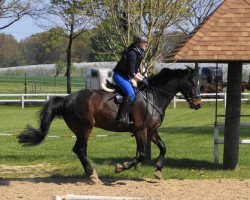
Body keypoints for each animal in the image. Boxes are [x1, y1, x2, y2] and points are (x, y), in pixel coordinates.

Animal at [17, 67, 201, 183]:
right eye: (193, 82)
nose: (198, 104)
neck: (153, 97)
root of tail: (66, 99)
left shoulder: (151, 131)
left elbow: (163, 147)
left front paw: (157, 171)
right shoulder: (141, 131)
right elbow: (142, 154)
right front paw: (121, 167)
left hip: (82, 130)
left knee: (80, 150)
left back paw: (90, 173)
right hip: (85, 128)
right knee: (79, 149)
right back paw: (92, 174)